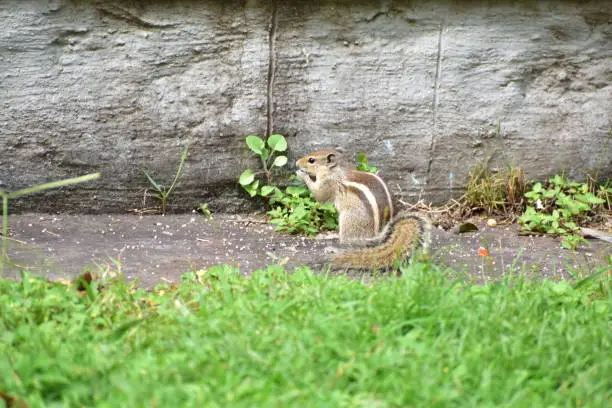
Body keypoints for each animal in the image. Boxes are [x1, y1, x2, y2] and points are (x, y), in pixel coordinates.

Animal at [296, 150, 430, 270]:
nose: (297, 163)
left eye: (311, 160)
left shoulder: (328, 183)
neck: (336, 170)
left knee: (350, 244)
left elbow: (320, 195)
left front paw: (302, 174)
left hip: (348, 220)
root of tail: (378, 237)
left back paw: (333, 248)